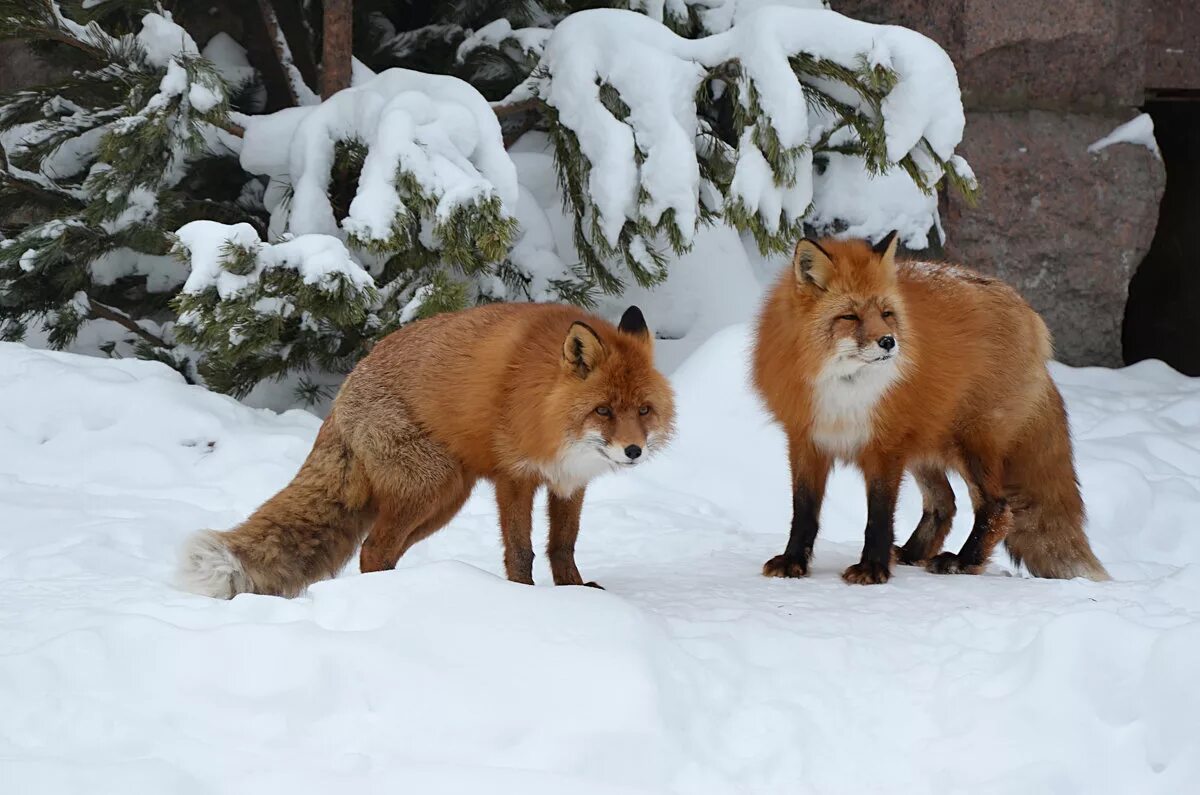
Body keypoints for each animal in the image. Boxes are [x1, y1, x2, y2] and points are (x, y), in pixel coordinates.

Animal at [177, 303, 676, 598]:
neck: (543, 405)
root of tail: (342, 394)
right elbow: (521, 551)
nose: (633, 451)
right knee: (372, 550)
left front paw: (575, 594)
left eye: (644, 410)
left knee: (381, 553)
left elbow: (562, 546)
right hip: (431, 485)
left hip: (444, 500)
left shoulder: (569, 482)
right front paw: (524, 599)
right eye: (603, 410)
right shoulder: (513, 477)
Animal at [753, 234, 1108, 588]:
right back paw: (912, 553)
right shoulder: (806, 440)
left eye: (886, 313)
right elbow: (804, 513)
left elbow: (879, 517)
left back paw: (963, 562)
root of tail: (1027, 310)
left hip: (971, 445)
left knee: (997, 507)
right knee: (944, 504)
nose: (888, 342)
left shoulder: (885, 447)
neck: (846, 387)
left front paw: (873, 568)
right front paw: (793, 561)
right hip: (925, 447)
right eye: (850, 317)